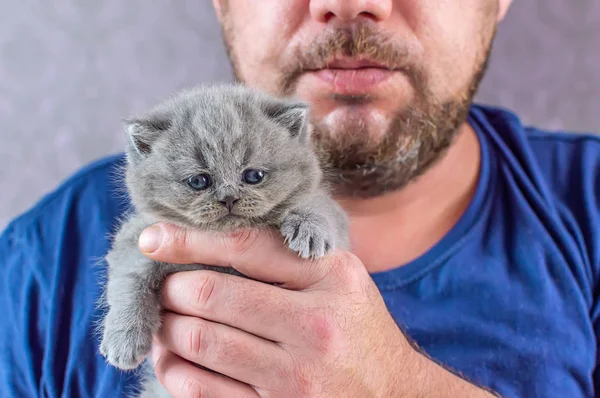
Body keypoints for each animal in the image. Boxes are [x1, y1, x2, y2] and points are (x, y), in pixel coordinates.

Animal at [99, 83, 352, 394]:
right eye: (198, 181)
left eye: (254, 175)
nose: (229, 197)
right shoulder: (138, 236)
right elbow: (129, 279)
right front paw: (123, 337)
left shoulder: (336, 217)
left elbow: (318, 203)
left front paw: (309, 226)